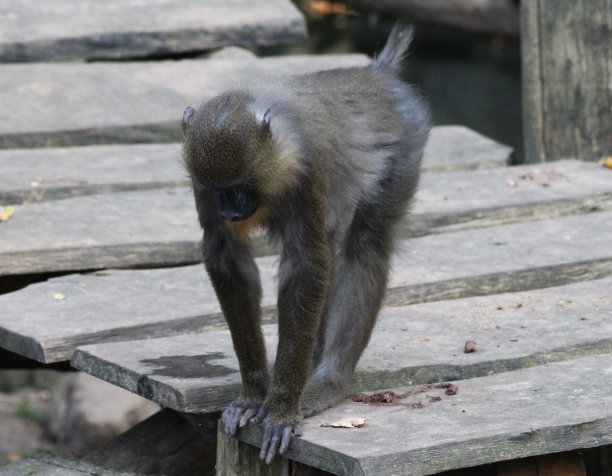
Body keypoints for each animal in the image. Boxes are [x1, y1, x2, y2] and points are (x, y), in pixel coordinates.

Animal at [182, 24, 430, 462]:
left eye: (237, 188)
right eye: (217, 191)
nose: (229, 210)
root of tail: (377, 75)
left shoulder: (310, 163)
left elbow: (307, 264)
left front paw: (281, 409)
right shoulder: (201, 179)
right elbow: (228, 259)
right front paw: (254, 395)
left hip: (403, 150)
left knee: (366, 243)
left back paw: (329, 380)